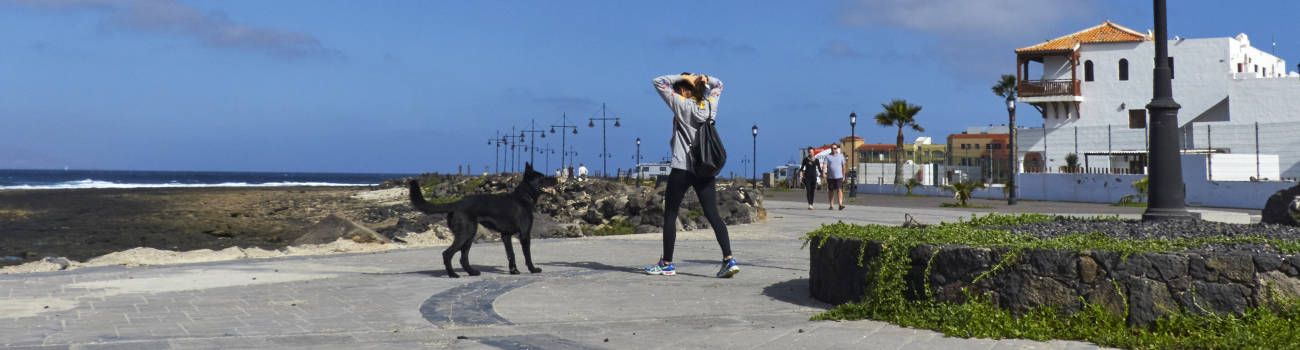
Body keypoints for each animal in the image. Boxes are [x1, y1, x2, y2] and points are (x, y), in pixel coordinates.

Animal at [403, 161, 551, 278]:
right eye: (542, 177)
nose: (553, 178)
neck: (524, 196)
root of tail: (457, 203)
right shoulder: (525, 235)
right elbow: (527, 256)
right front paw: (533, 269)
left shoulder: (506, 236)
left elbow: (511, 255)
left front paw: (514, 271)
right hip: (466, 234)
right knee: (447, 254)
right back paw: (453, 274)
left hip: (469, 236)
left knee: (463, 258)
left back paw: (472, 272)